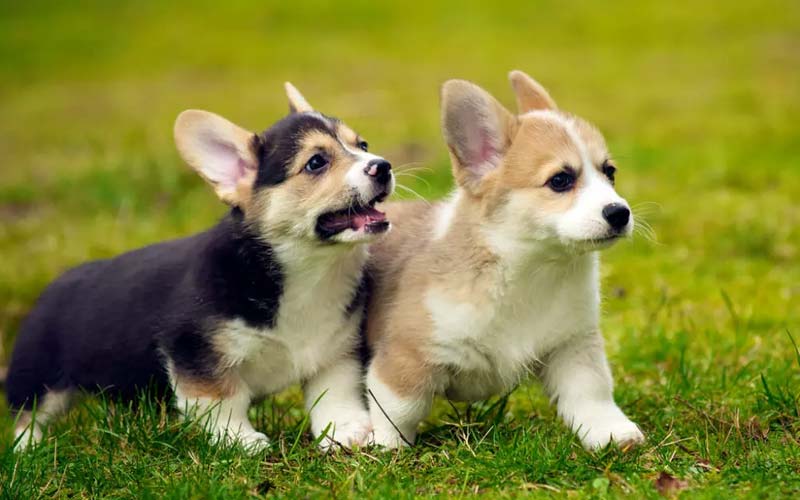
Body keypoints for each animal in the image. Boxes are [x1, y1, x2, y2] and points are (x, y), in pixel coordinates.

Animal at [6, 83, 394, 454]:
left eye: (362, 145)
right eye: (316, 162)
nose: (383, 166)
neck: (306, 269)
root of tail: (57, 283)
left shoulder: (334, 352)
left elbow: (335, 394)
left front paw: (347, 431)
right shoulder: (195, 354)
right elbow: (223, 400)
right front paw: (241, 439)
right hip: (38, 376)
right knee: (28, 416)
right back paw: (29, 450)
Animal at [366, 72, 648, 452]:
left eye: (610, 172)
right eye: (561, 180)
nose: (620, 213)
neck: (532, 269)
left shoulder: (572, 345)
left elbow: (592, 392)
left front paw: (611, 432)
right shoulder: (407, 355)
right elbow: (398, 409)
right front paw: (384, 447)